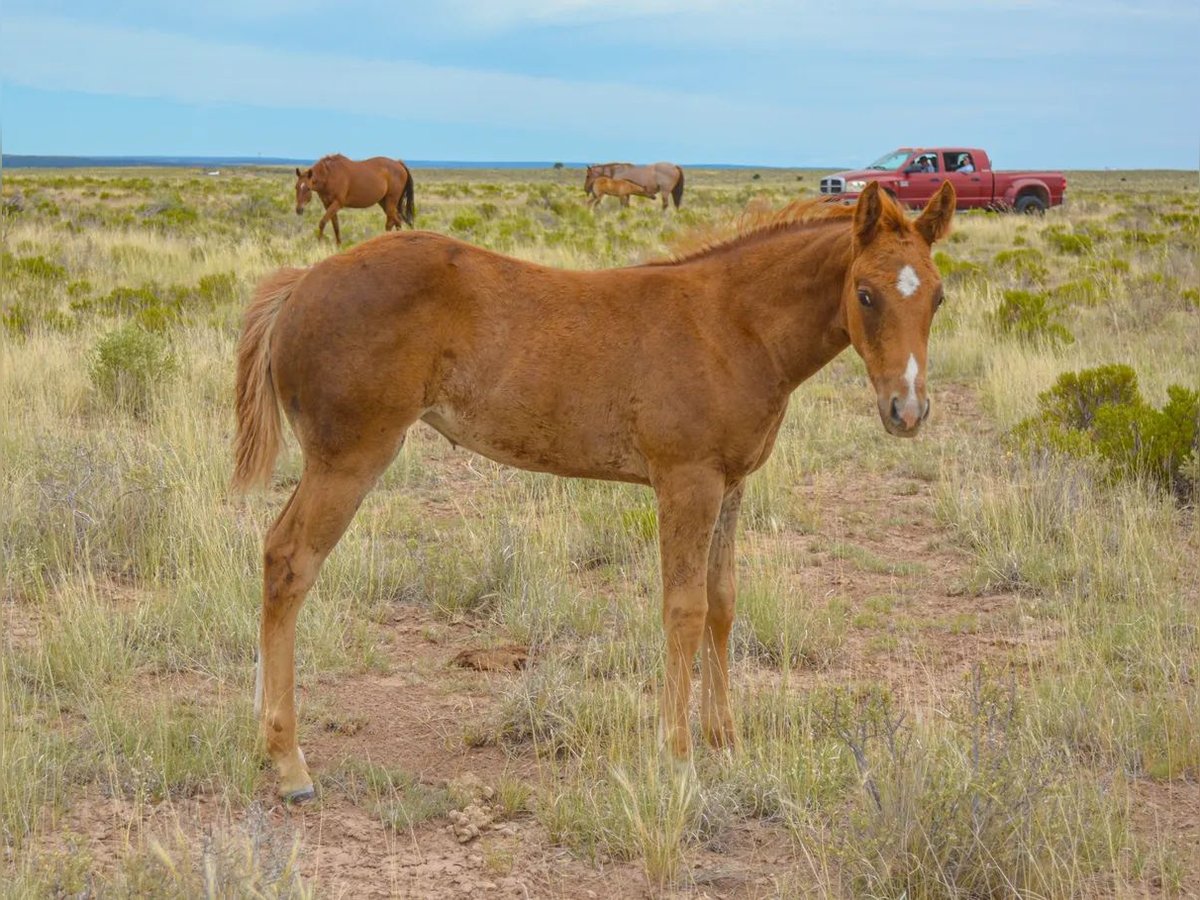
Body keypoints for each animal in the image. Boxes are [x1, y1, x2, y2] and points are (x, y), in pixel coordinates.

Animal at [234, 180, 955, 801]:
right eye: (865, 293)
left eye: (939, 297)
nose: (907, 411)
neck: (732, 326)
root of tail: (300, 285)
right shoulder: (686, 481)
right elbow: (684, 609)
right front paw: (677, 755)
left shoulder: (732, 485)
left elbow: (722, 603)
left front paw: (727, 741)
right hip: (350, 459)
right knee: (290, 561)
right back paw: (289, 761)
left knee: (274, 555)